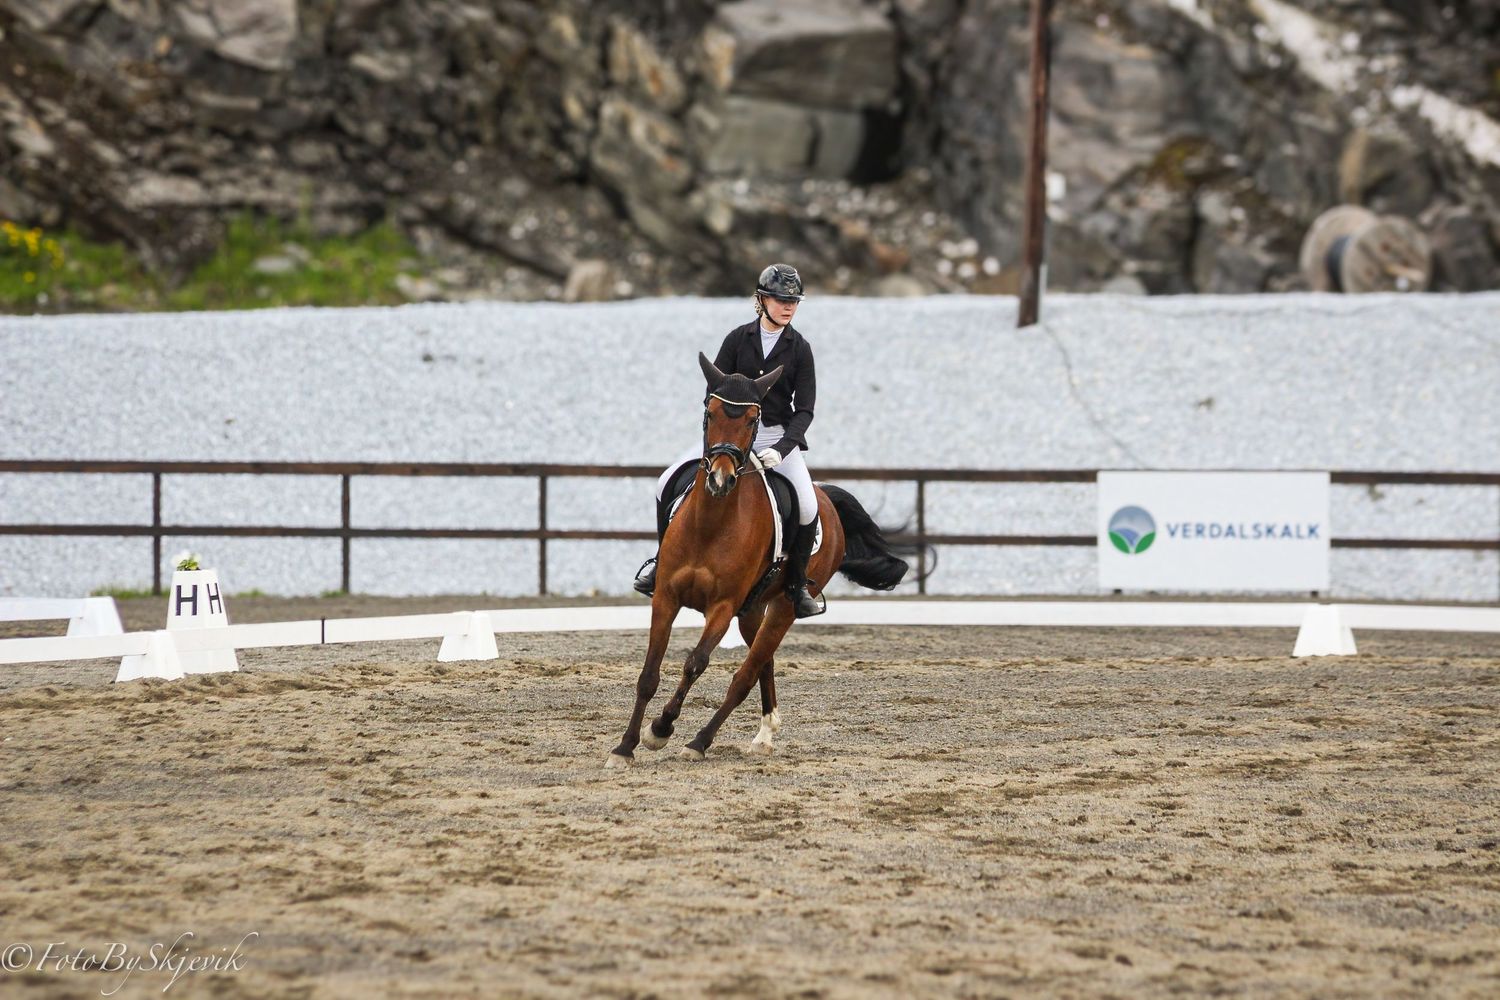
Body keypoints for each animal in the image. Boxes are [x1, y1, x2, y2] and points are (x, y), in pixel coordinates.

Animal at [607, 352, 910, 767]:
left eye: (753, 419)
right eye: (710, 412)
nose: (720, 479)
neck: (710, 525)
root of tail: (826, 497)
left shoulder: (721, 607)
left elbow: (695, 663)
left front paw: (661, 729)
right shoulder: (665, 598)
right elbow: (649, 674)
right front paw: (624, 747)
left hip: (782, 606)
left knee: (746, 675)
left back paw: (701, 742)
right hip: (752, 610)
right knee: (762, 661)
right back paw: (765, 732)